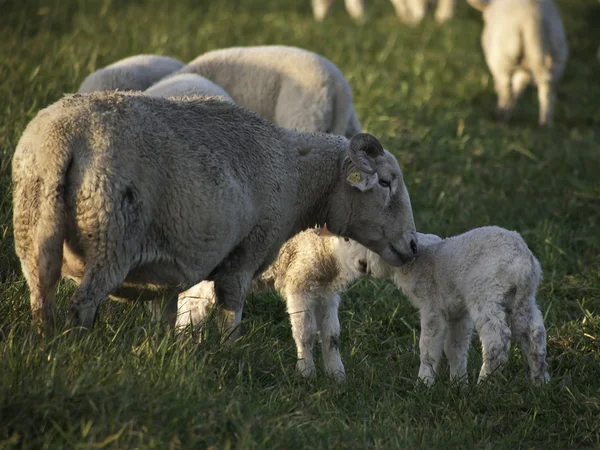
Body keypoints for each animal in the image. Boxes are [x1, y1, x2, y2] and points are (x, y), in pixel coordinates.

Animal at [14, 91, 418, 338]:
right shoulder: (245, 255)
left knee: (41, 294)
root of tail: (65, 136)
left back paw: (47, 348)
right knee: (82, 304)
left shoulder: (165, 275)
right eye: (385, 182)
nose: (413, 246)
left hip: (33, 226)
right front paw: (228, 359)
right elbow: (230, 319)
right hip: (110, 236)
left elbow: (165, 321)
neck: (294, 175)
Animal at [176, 229, 368, 380]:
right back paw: (186, 339)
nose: (364, 264)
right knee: (193, 301)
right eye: (346, 238)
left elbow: (332, 335)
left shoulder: (327, 294)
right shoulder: (299, 282)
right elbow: (305, 332)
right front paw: (306, 372)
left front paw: (337, 375)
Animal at [364, 227, 552, 384]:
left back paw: (485, 383)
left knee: (497, 337)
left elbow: (428, 346)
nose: (363, 266)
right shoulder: (458, 313)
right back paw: (540, 381)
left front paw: (424, 383)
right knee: (534, 333)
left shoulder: (432, 306)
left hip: (485, 290)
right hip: (525, 296)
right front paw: (459, 383)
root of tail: (523, 262)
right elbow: (455, 347)